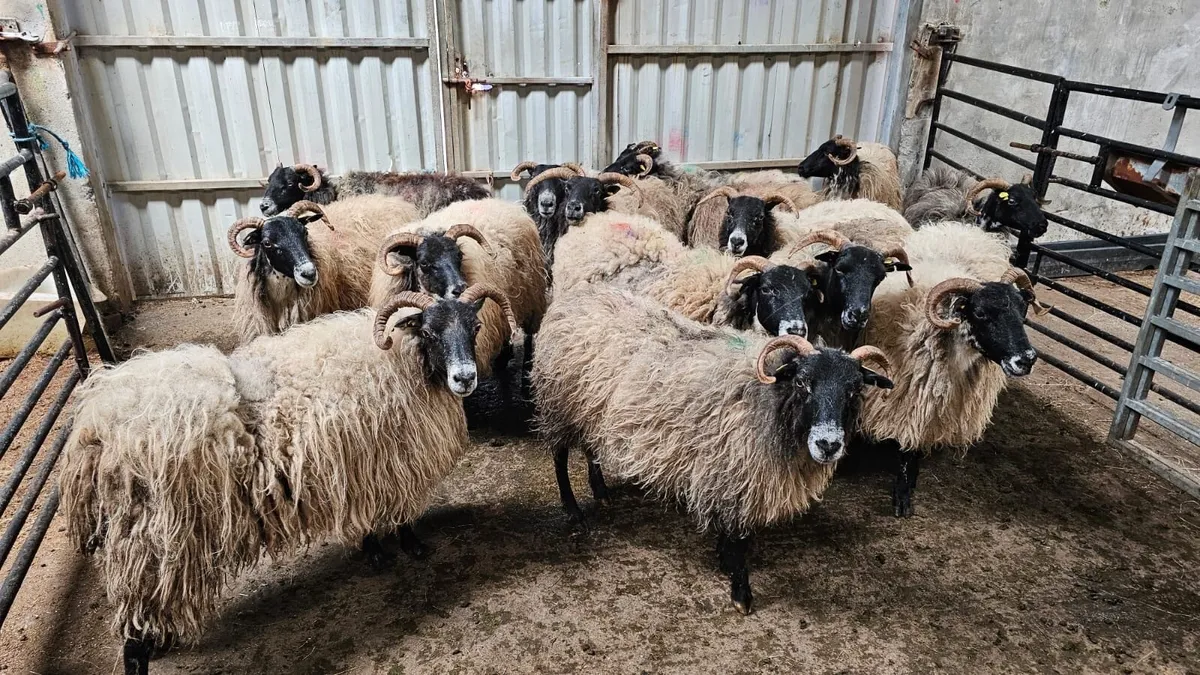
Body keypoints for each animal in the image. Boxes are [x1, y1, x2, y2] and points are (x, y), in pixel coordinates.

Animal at [60, 284, 517, 675]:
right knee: (134, 631)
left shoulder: (361, 469)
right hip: (151, 540)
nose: (465, 378)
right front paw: (403, 547)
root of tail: (93, 429)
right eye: (428, 330)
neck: (401, 359)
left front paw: (377, 548)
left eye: (474, 328)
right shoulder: (385, 462)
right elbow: (397, 513)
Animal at [369, 198, 547, 377]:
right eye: (424, 263)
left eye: (459, 256)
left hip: (532, 298)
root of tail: (504, 202)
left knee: (529, 337)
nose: (460, 289)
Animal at [532, 284, 894, 613]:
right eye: (803, 382)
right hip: (559, 403)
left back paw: (601, 490)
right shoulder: (737, 473)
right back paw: (573, 511)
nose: (828, 444)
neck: (770, 398)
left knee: (592, 448)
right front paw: (741, 593)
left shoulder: (729, 472)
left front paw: (724, 560)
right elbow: (740, 537)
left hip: (592, 410)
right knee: (560, 457)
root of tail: (575, 297)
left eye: (854, 390)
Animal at [858, 221, 1048, 517]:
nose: (1026, 359)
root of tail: (964, 227)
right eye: (980, 313)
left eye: (1022, 311)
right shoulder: (908, 398)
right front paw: (902, 498)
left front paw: (909, 483)